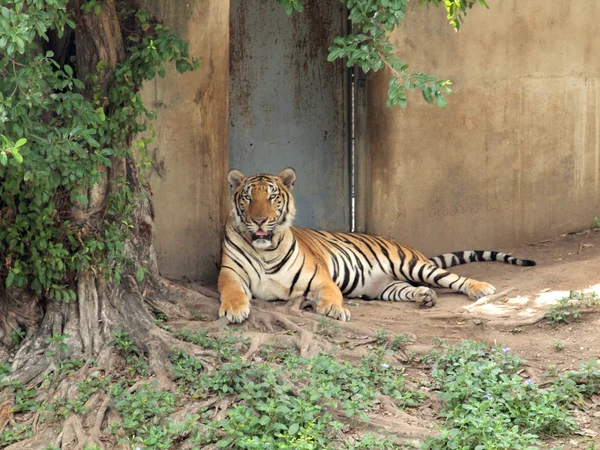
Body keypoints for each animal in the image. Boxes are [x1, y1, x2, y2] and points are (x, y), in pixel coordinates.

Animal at [218, 167, 536, 322]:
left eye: (272, 197)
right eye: (248, 197)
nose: (259, 220)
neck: (265, 251)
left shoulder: (320, 277)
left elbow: (332, 294)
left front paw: (335, 310)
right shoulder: (230, 273)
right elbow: (232, 291)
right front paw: (234, 310)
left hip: (413, 265)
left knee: (452, 277)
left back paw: (481, 288)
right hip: (386, 285)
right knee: (407, 289)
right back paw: (425, 297)